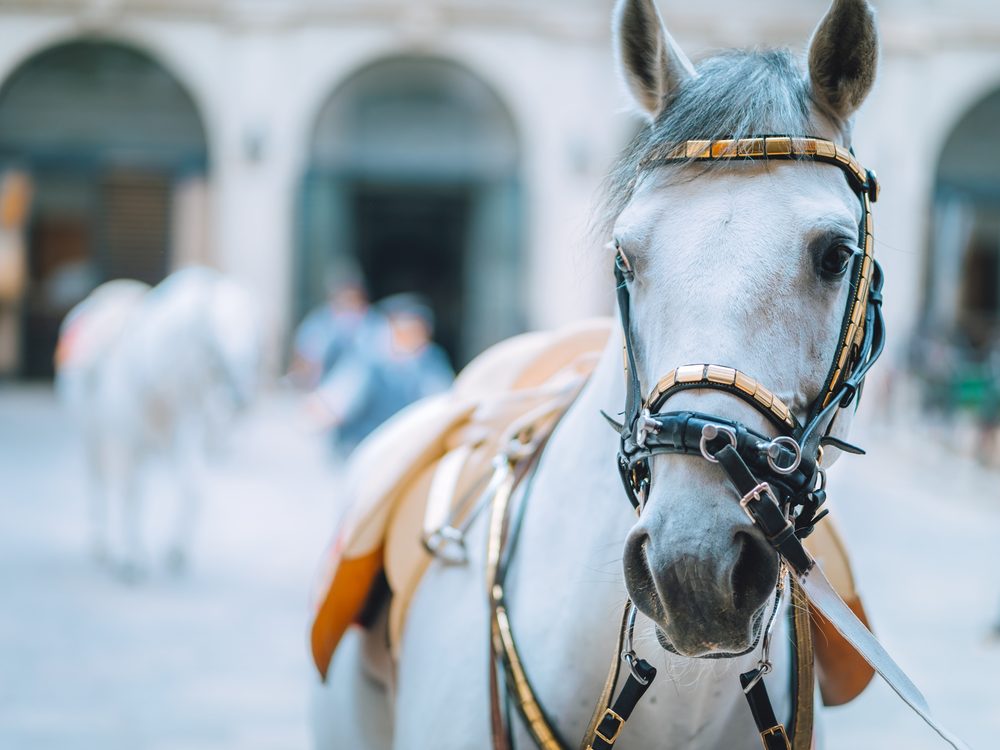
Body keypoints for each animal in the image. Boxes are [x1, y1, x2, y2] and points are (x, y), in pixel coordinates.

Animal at [56, 267, 260, 579]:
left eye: (253, 337)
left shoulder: (183, 438)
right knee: (99, 482)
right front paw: (130, 559)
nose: (242, 399)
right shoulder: (127, 444)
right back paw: (102, 543)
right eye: (213, 342)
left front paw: (176, 550)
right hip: (90, 434)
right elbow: (132, 495)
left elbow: (192, 490)